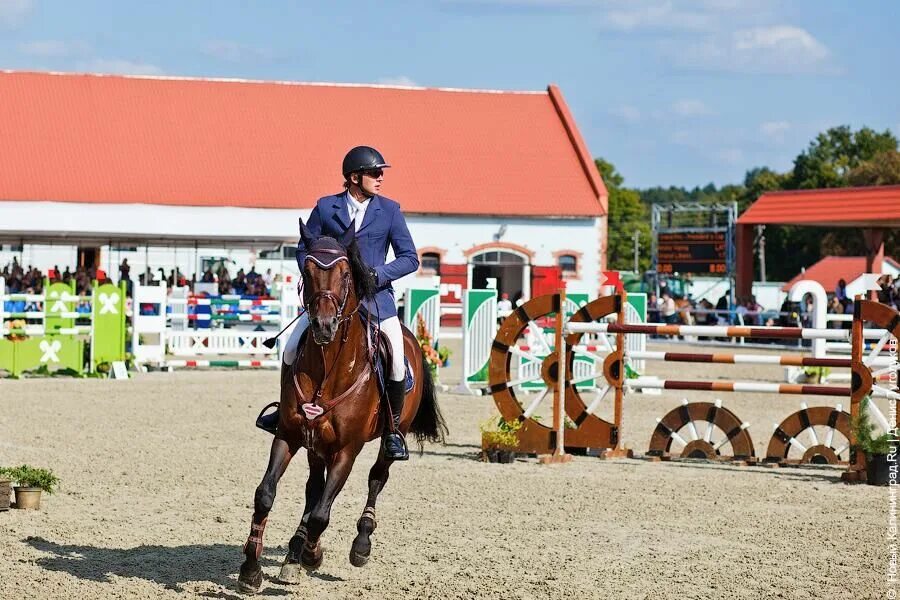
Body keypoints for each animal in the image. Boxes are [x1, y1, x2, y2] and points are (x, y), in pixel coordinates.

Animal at [237, 218, 444, 592]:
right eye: (306, 270)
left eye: (347, 272)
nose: (323, 325)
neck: (328, 368)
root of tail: (413, 338)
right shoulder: (288, 436)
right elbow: (266, 494)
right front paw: (251, 569)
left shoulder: (347, 451)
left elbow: (323, 513)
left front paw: (313, 555)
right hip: (316, 444)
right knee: (313, 489)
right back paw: (293, 553)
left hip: (388, 436)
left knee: (376, 478)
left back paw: (359, 544)